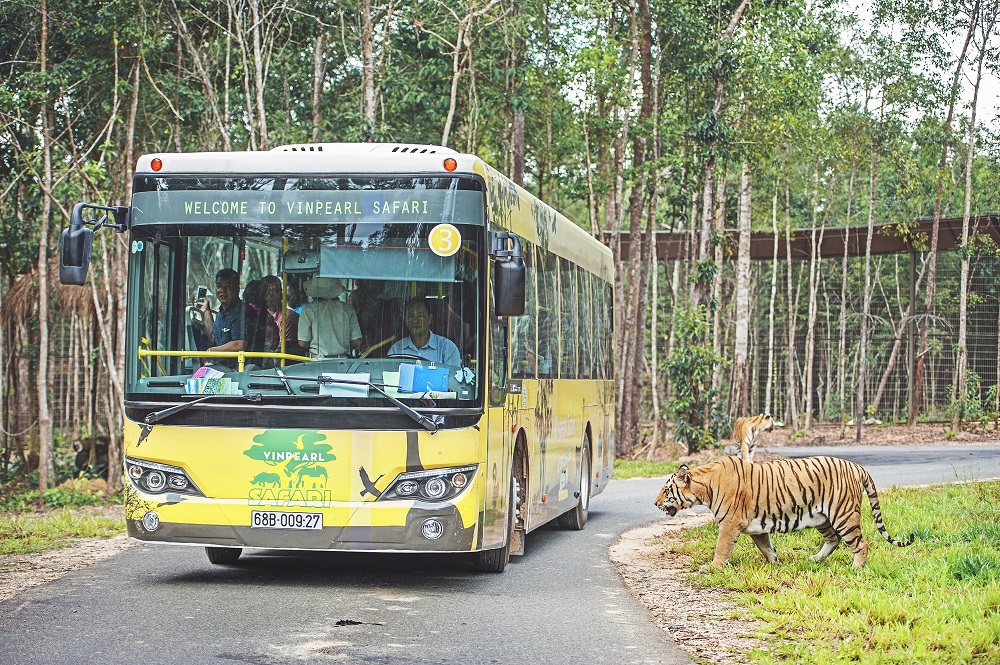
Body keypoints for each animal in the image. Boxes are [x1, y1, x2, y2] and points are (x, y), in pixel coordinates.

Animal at [656, 454, 916, 568]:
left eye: (666, 490)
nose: (655, 503)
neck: (705, 488)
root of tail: (859, 466)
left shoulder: (729, 524)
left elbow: (721, 549)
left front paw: (712, 568)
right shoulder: (757, 528)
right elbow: (766, 547)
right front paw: (775, 562)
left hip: (843, 514)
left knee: (861, 544)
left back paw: (856, 569)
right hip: (822, 518)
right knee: (833, 540)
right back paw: (815, 559)